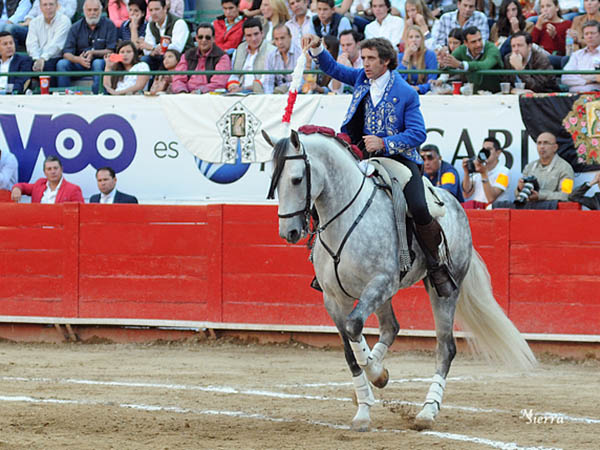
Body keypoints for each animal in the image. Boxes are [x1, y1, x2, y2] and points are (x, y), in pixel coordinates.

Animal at [262, 128, 537, 432]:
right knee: (391, 327)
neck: (346, 218)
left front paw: (376, 376)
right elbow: (349, 349)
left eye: (296, 179)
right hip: (382, 296)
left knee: (446, 346)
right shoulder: (334, 299)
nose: (289, 232)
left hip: (442, 290)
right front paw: (364, 405)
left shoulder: (381, 282)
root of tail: (456, 205)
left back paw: (427, 411)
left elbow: (354, 326)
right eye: (273, 181)